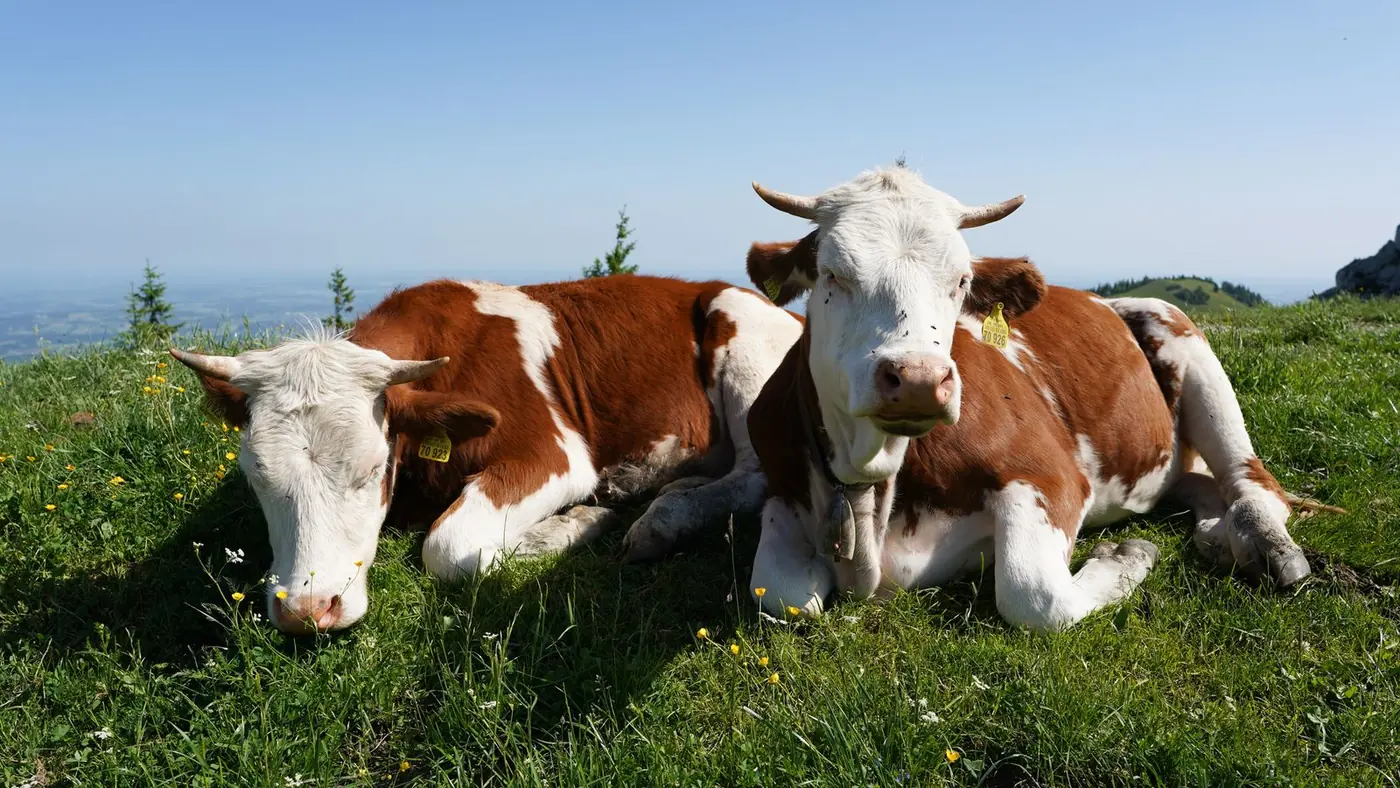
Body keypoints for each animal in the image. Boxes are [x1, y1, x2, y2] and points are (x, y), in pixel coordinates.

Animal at [171, 274, 802, 633]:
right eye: (257, 477)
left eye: (373, 471)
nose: (307, 611)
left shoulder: (553, 453)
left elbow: (449, 548)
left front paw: (577, 523)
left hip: (746, 345)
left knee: (754, 474)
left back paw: (662, 520)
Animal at [740, 164, 1312, 632]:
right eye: (832, 273)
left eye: (961, 280)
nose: (920, 379)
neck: (870, 484)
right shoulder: (782, 490)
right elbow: (782, 593)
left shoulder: (1049, 474)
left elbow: (1033, 595)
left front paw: (1127, 554)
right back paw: (1216, 532)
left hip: (1186, 340)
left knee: (1253, 482)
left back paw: (1267, 546)